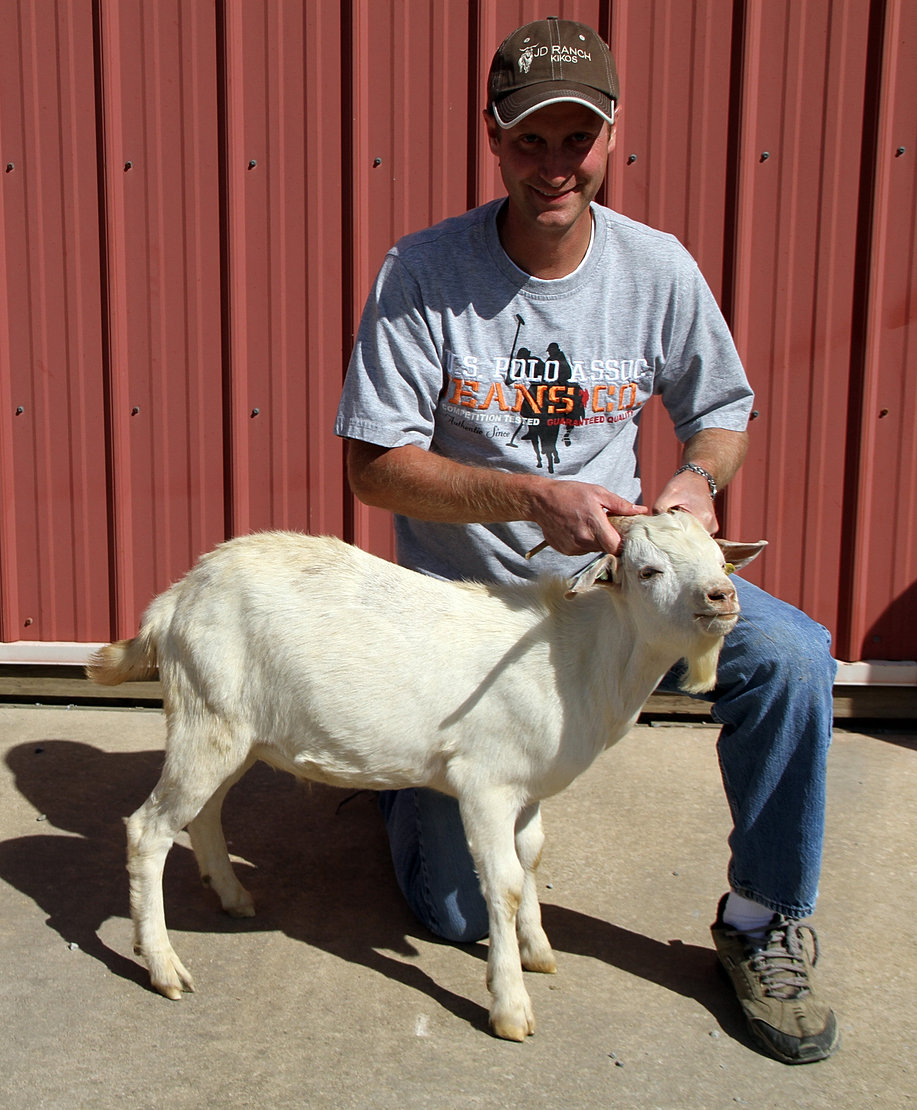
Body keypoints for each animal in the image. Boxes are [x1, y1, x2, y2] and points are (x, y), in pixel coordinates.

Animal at [86, 511, 764, 1041]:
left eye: (719, 561)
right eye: (648, 570)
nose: (720, 598)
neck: (576, 661)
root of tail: (171, 603)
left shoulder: (529, 790)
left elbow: (533, 858)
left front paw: (538, 951)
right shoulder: (486, 782)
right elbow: (504, 883)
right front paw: (510, 1008)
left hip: (234, 731)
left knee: (204, 813)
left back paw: (232, 897)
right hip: (208, 718)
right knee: (148, 830)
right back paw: (164, 968)